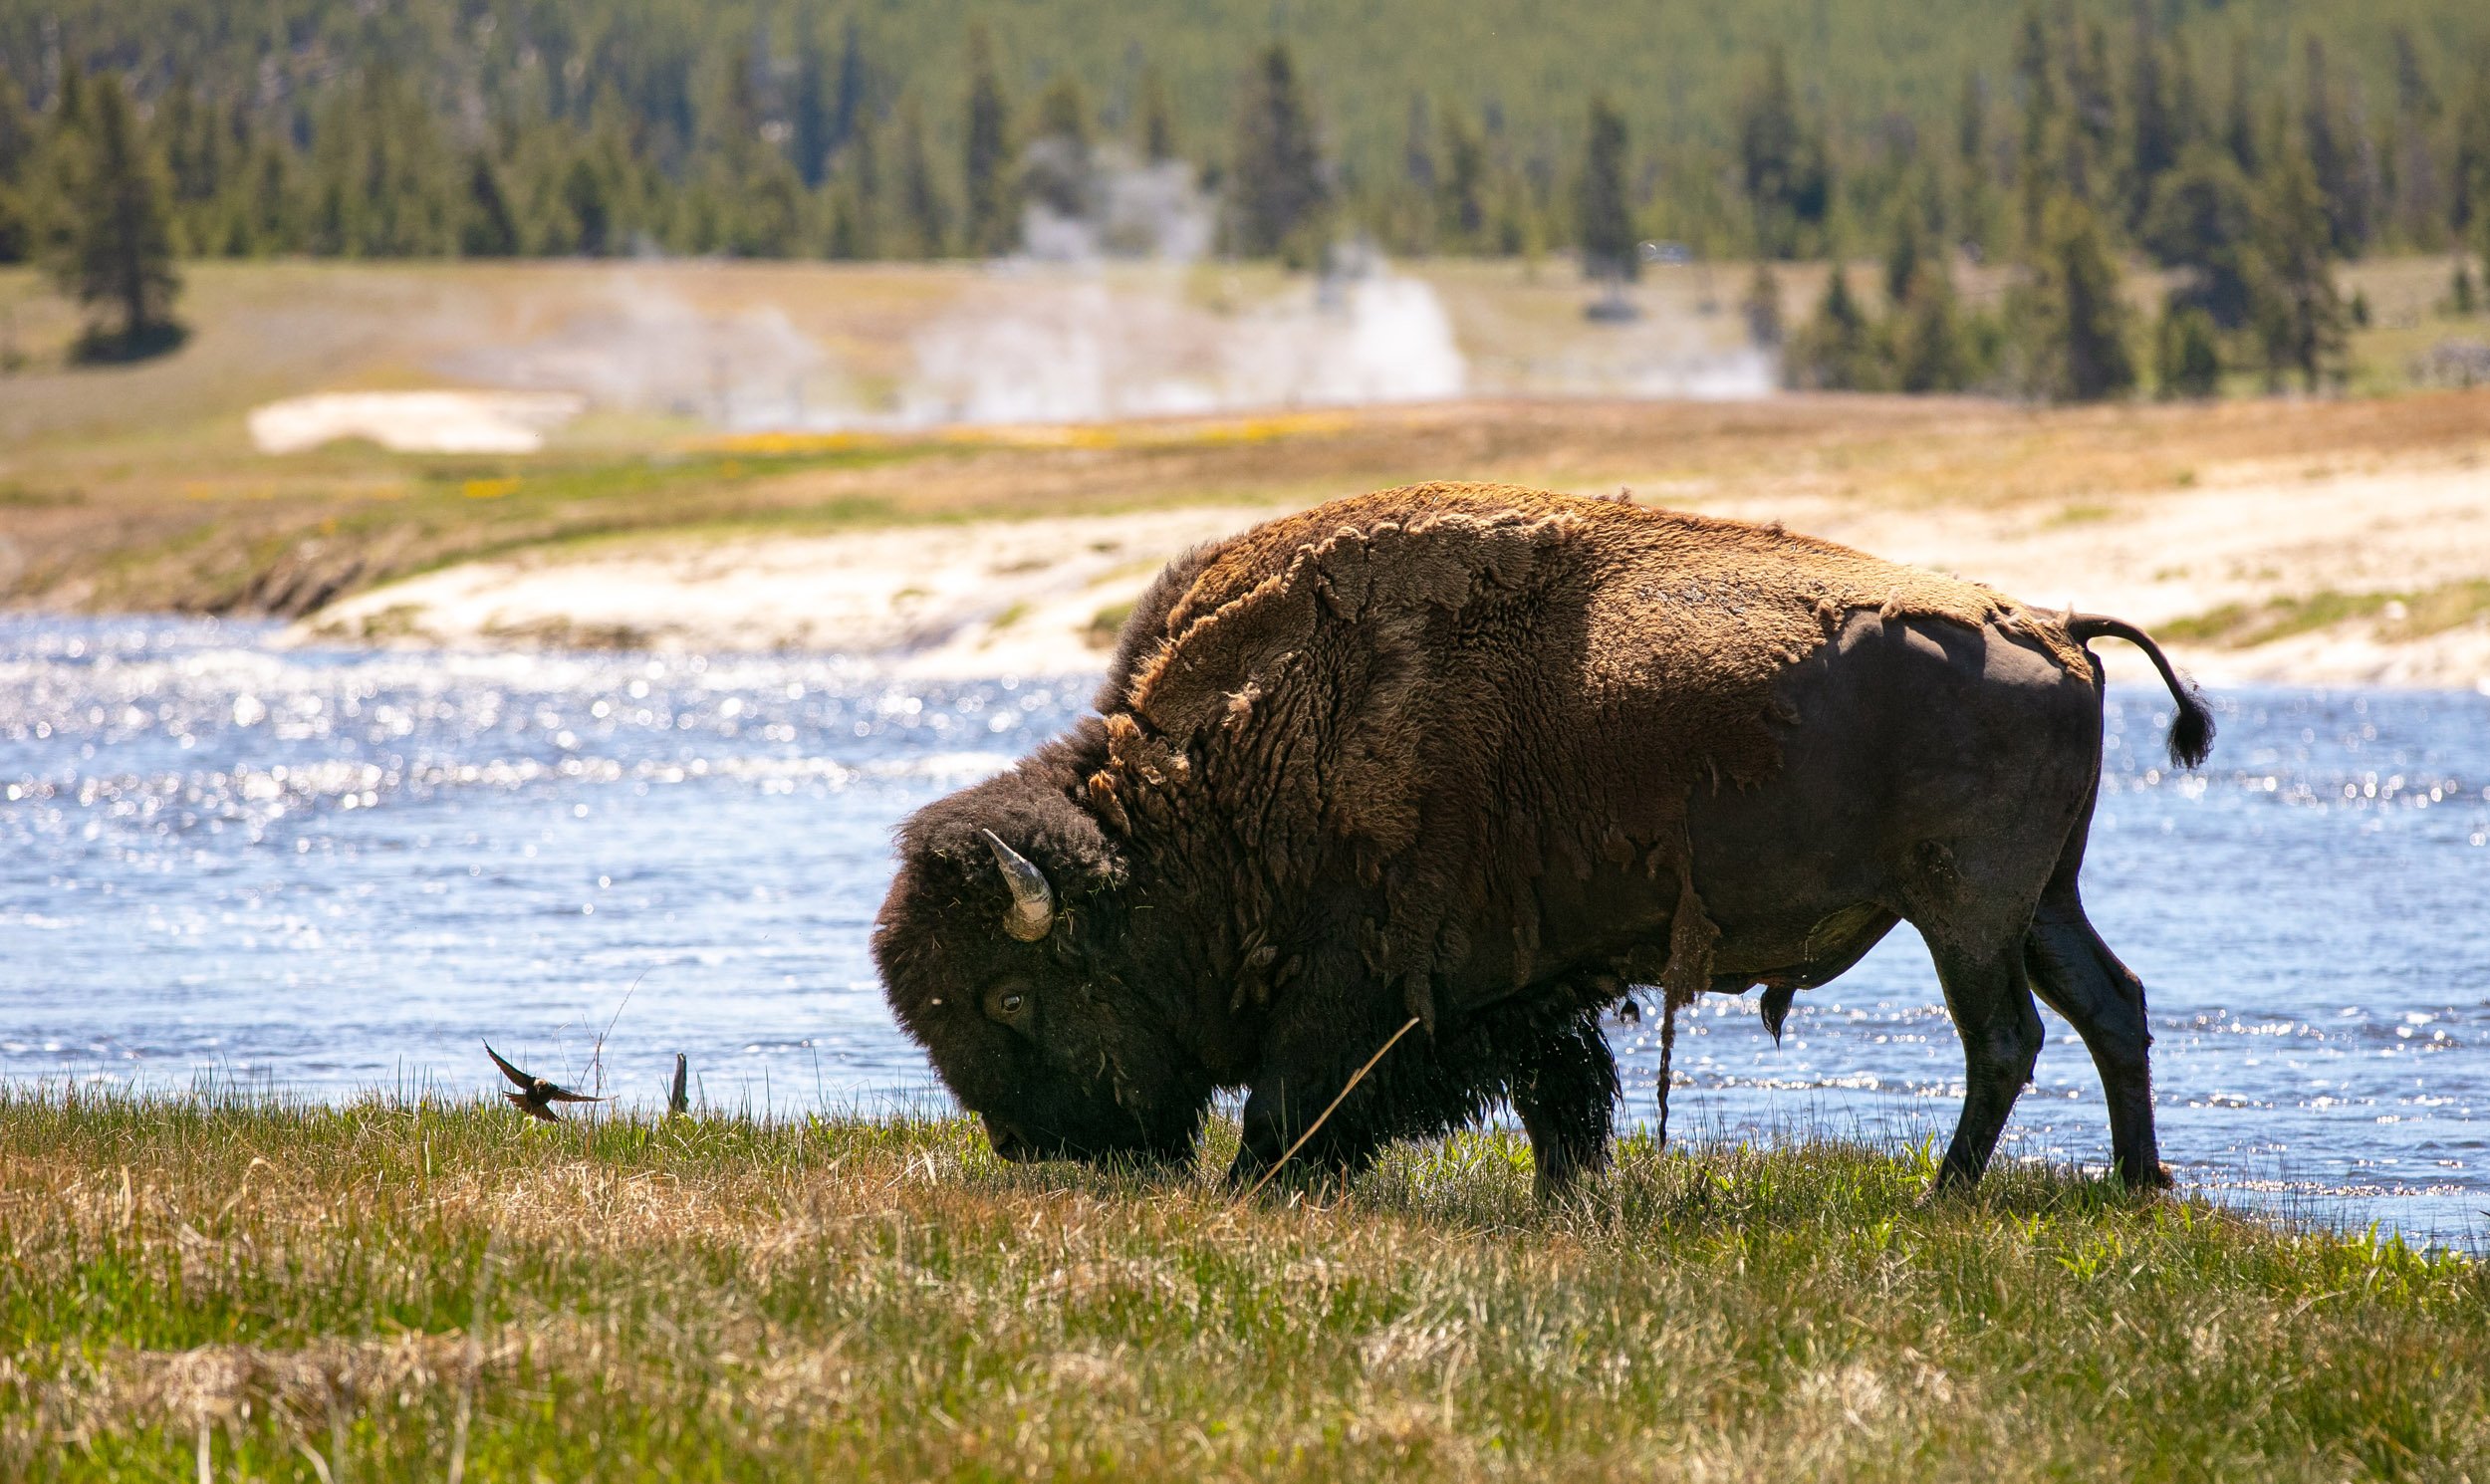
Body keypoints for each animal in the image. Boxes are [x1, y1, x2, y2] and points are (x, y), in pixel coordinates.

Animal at [867, 480, 2211, 1200]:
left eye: (1007, 996)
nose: (1033, 1149)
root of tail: (2053, 626)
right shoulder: (1524, 990)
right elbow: (1563, 1094)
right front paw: (1569, 1190)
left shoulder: (1353, 983)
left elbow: (1296, 1096)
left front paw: (1260, 1180)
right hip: (2041, 898)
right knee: (2110, 1003)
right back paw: (2135, 1184)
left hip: (1963, 908)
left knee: (2007, 1036)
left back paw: (1944, 1194)